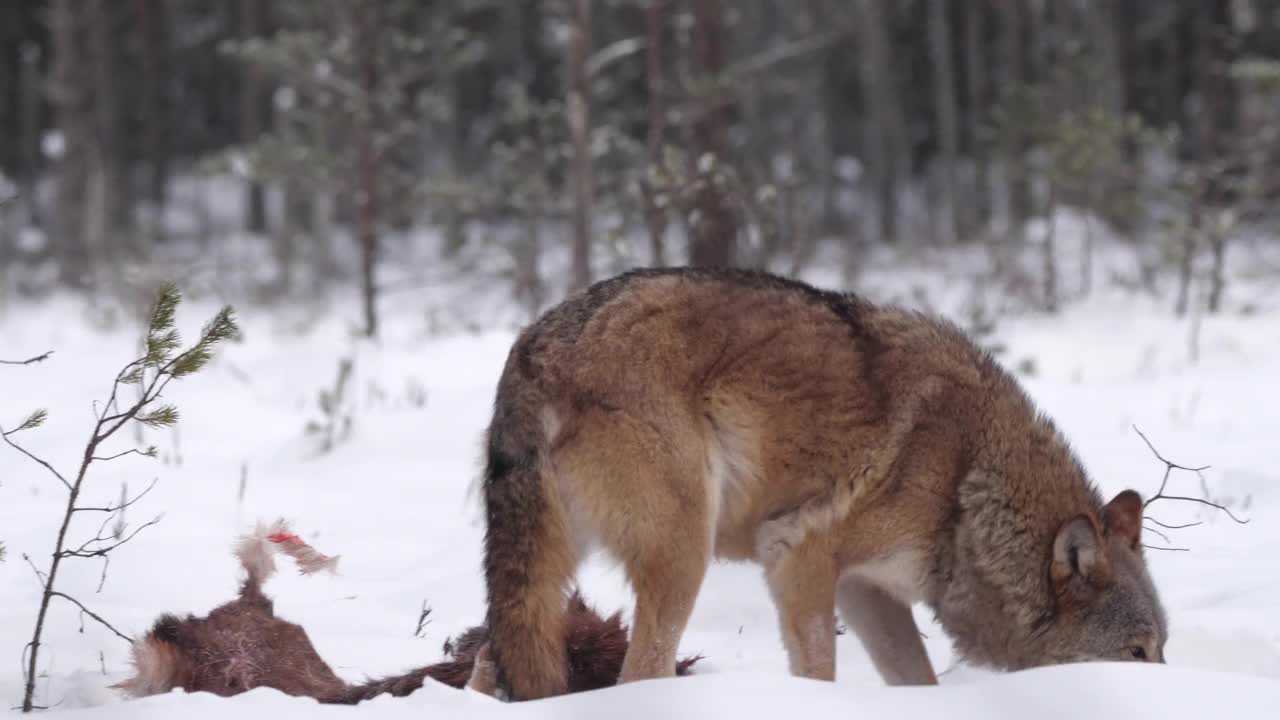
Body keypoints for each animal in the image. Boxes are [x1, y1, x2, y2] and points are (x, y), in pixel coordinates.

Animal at [476, 266, 1167, 696]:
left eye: (1161, 649)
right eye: (1135, 654)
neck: (966, 486)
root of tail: (534, 347)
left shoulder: (868, 590)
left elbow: (919, 681)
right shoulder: (797, 556)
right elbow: (819, 674)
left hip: (541, 580)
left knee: (493, 658)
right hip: (683, 557)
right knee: (640, 675)